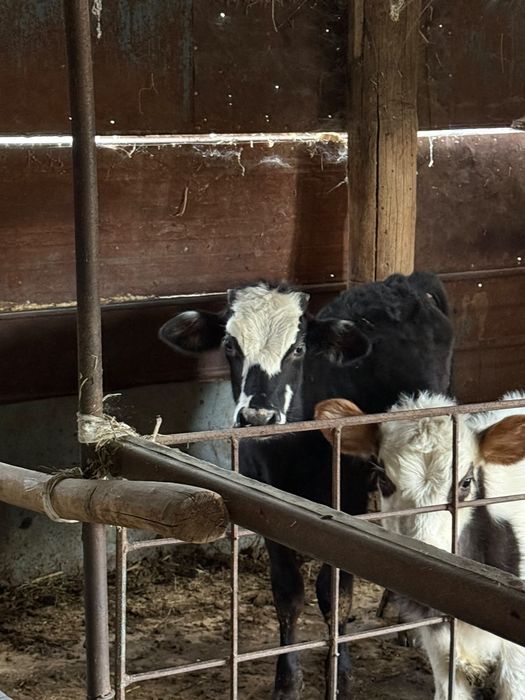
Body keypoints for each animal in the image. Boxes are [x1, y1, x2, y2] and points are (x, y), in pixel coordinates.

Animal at [159, 271, 454, 699]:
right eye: (230, 345)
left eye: (297, 348)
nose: (258, 416)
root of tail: (402, 281)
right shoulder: (264, 506)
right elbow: (288, 595)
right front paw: (286, 681)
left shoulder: (347, 503)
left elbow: (336, 595)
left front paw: (340, 676)